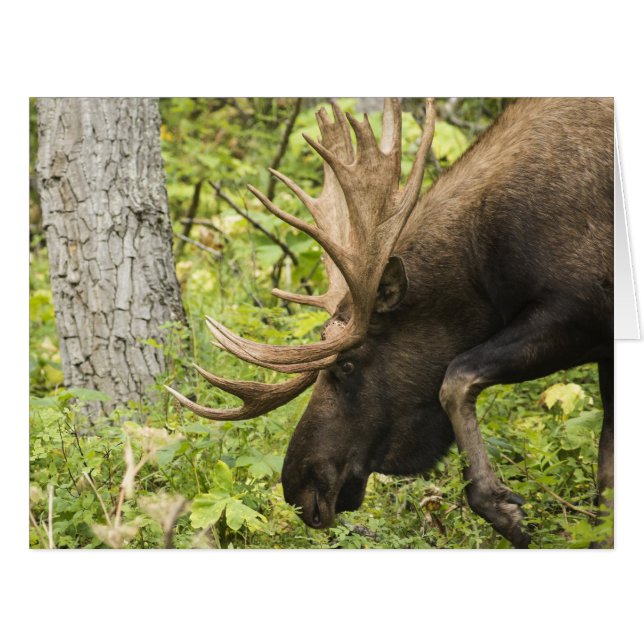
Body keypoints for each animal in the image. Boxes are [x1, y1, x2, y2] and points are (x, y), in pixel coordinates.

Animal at [166, 98, 614, 548]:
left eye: (346, 364)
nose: (299, 488)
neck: (485, 266)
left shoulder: (582, 310)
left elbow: (455, 377)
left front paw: (504, 509)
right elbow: (606, 472)